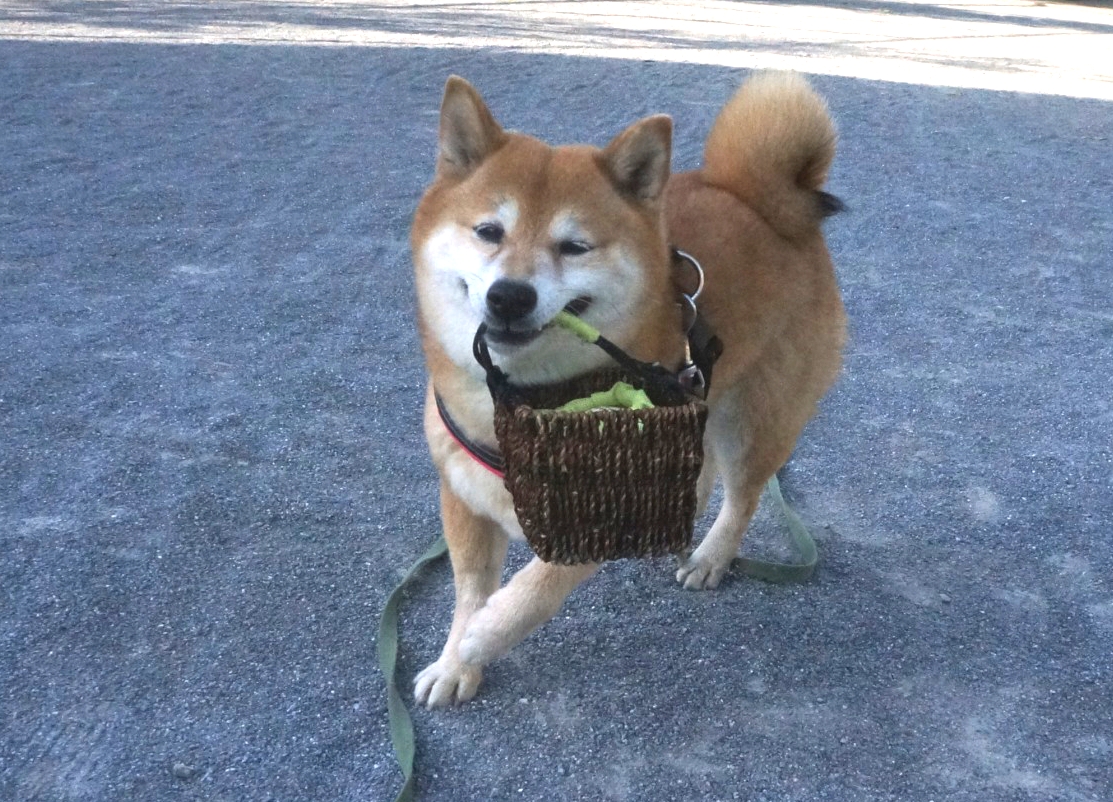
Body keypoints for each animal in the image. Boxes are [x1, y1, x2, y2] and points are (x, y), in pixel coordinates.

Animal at [410, 72, 846, 707]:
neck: (521, 400)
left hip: (756, 417)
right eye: (489, 232)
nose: (510, 295)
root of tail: (761, 197)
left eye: (574, 246)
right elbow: (469, 589)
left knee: (742, 496)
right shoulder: (463, 495)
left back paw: (711, 556)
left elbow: (531, 593)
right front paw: (454, 661)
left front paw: (482, 638)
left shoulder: (595, 514)